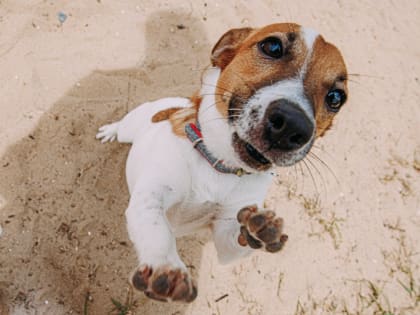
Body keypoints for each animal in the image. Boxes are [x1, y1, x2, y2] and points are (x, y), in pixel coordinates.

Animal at [96, 22, 348, 304]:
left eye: (336, 98)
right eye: (272, 46)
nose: (293, 125)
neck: (217, 165)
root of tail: (175, 103)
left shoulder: (226, 231)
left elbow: (235, 239)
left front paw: (259, 231)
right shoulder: (150, 199)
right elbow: (157, 230)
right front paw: (167, 269)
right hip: (133, 124)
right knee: (122, 127)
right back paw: (110, 130)